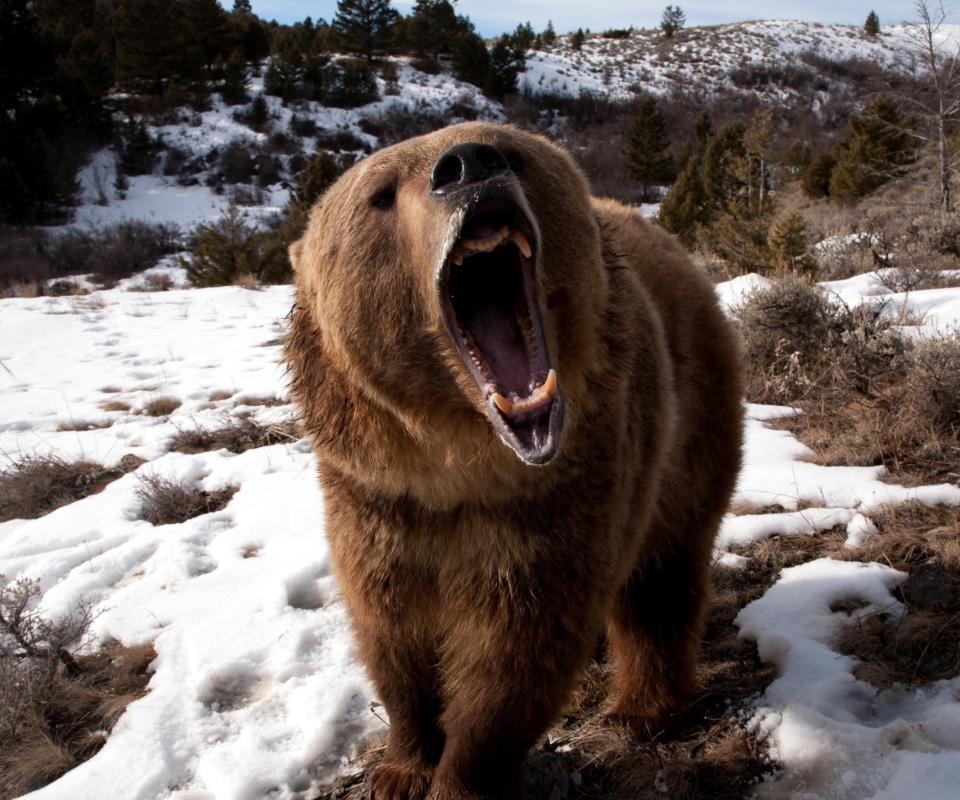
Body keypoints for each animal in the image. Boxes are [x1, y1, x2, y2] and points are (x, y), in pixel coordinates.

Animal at [284, 123, 744, 800]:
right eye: (380, 194)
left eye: (511, 151)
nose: (469, 165)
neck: (458, 465)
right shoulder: (375, 497)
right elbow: (392, 632)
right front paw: (402, 766)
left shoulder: (555, 497)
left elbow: (515, 652)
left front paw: (460, 777)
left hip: (689, 422)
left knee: (662, 574)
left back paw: (642, 710)